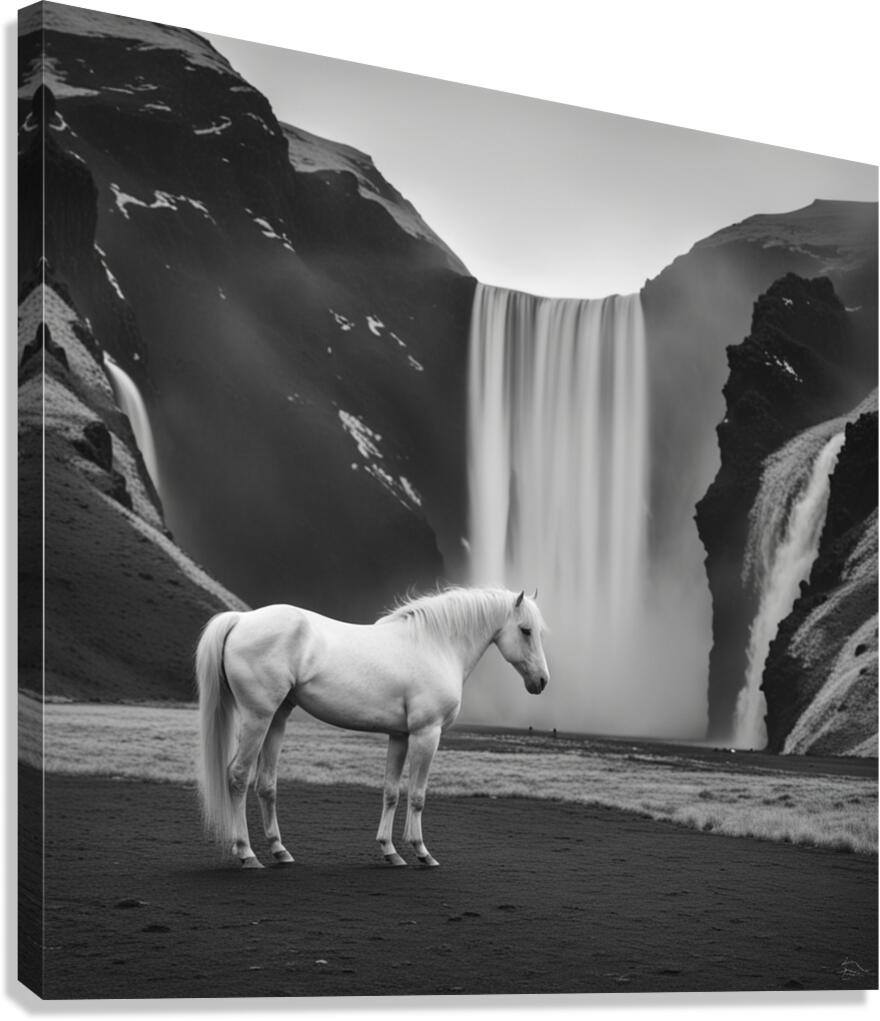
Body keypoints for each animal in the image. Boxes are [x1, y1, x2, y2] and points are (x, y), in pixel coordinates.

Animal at [195, 586, 549, 869]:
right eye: (525, 630)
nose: (542, 682)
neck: (435, 646)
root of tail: (241, 620)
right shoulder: (427, 734)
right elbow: (417, 795)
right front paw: (422, 852)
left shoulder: (400, 736)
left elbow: (391, 792)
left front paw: (390, 851)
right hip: (258, 717)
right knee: (238, 776)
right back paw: (246, 853)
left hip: (277, 719)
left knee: (266, 783)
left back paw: (280, 851)